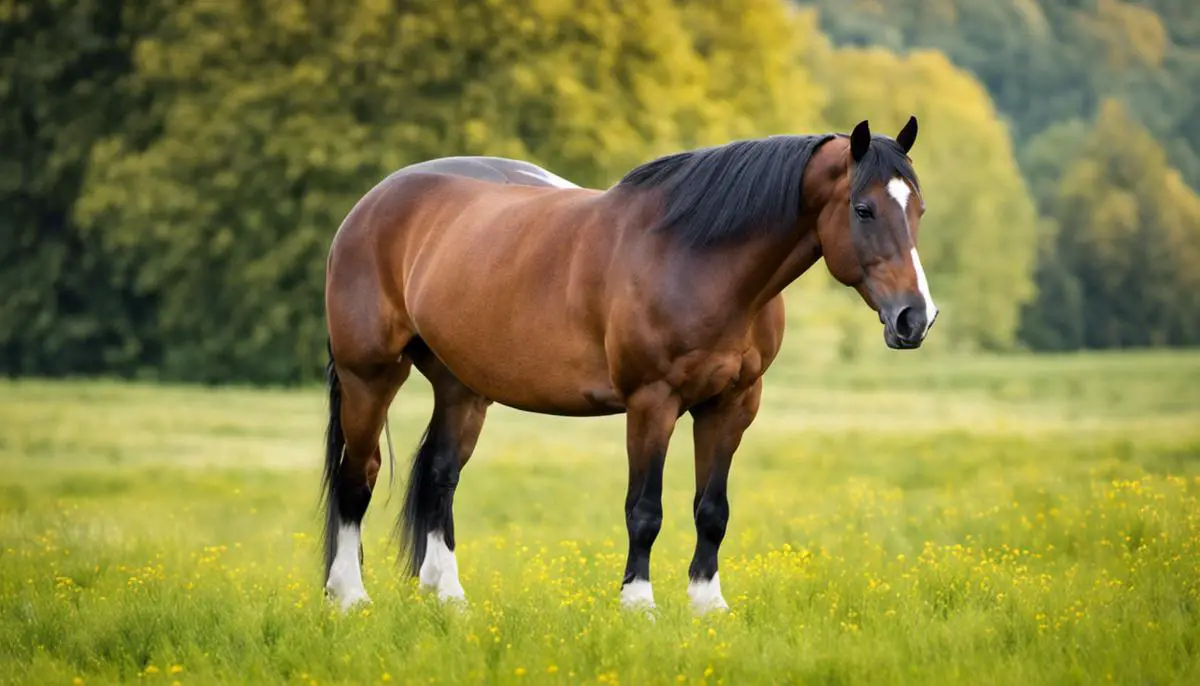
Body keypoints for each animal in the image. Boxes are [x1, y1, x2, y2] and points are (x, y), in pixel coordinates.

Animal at [319, 115, 936, 614]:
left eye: (919, 210)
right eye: (863, 208)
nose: (915, 317)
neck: (698, 257)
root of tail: (373, 203)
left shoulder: (732, 405)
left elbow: (712, 509)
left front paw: (707, 605)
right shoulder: (651, 402)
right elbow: (644, 509)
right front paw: (639, 605)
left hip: (462, 386)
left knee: (441, 475)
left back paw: (449, 597)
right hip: (370, 376)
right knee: (359, 476)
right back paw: (349, 597)